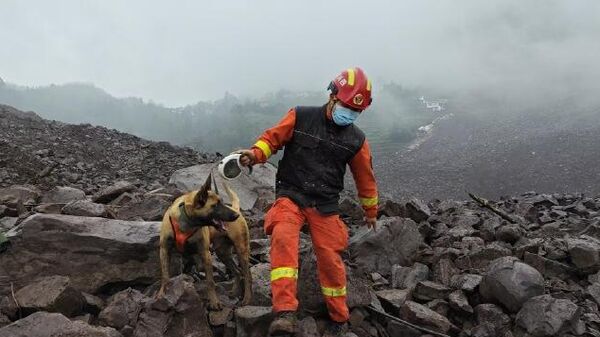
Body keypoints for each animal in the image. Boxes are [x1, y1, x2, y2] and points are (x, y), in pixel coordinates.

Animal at [157, 175, 251, 308]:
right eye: (216, 205)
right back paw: (234, 292)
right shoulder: (164, 250)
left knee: (247, 275)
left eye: (222, 202)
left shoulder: (205, 253)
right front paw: (161, 294)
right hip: (223, 253)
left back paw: (247, 298)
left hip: (241, 250)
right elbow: (165, 275)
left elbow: (210, 281)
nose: (235, 215)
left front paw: (214, 302)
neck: (187, 223)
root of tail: (235, 207)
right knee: (237, 272)